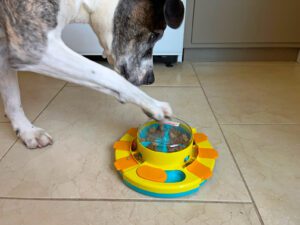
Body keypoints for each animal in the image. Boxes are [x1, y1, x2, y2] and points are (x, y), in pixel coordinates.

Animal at [0, 0, 184, 149]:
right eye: (154, 35)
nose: (150, 79)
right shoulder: (33, 47)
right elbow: (106, 74)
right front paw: (153, 105)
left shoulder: (6, 51)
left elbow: (13, 99)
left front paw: (27, 131)